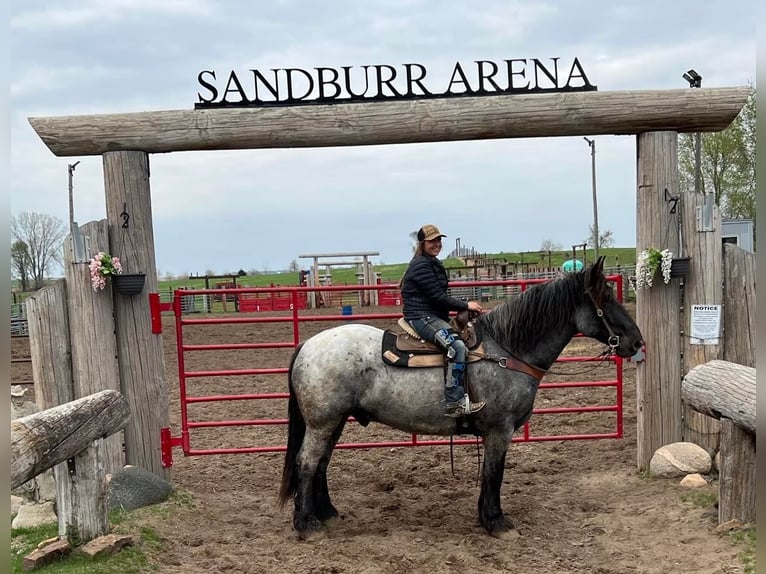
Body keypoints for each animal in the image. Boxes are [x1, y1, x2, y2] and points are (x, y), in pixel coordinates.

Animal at [280, 258, 644, 536]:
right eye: (605, 298)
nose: (637, 342)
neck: (507, 350)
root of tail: (308, 345)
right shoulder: (500, 430)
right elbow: (494, 473)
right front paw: (497, 522)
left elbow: (489, 475)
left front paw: (486, 518)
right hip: (323, 422)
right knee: (307, 462)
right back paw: (307, 524)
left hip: (335, 421)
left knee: (321, 463)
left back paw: (327, 513)